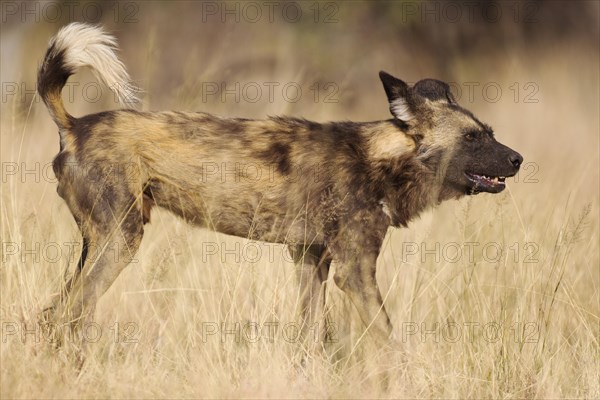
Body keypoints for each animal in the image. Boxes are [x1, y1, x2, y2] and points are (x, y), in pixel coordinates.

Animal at [39, 23, 524, 346]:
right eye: (472, 138)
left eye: (490, 132)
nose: (518, 159)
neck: (381, 160)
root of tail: (75, 125)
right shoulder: (354, 271)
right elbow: (388, 337)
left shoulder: (311, 259)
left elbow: (312, 334)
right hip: (121, 240)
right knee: (71, 311)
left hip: (99, 243)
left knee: (53, 312)